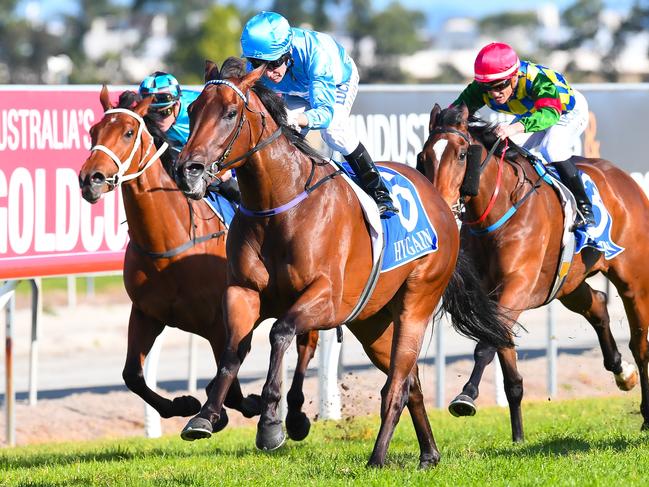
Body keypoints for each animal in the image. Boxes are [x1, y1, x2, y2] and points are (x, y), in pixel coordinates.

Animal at [78, 86, 318, 430]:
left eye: (128, 132)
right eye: (93, 131)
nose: (91, 179)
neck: (170, 244)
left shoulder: (220, 323)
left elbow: (232, 385)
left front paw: (240, 406)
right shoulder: (146, 313)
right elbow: (132, 375)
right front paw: (183, 403)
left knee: (306, 342)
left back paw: (295, 413)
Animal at [171, 59, 512, 470]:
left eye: (230, 113)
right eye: (192, 110)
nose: (187, 169)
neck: (279, 204)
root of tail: (441, 202)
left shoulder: (328, 299)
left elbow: (280, 332)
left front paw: (271, 424)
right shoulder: (243, 292)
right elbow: (232, 351)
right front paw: (205, 416)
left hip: (417, 302)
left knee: (397, 386)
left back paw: (378, 458)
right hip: (373, 323)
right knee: (411, 382)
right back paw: (429, 453)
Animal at [416, 103, 648, 442]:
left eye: (461, 155)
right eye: (423, 156)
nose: (438, 205)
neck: (499, 211)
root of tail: (623, 178)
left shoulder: (517, 287)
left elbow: (485, 346)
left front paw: (466, 396)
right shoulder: (492, 296)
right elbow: (503, 354)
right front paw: (517, 436)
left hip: (633, 280)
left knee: (640, 344)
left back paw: (645, 414)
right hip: (568, 284)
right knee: (597, 304)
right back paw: (623, 372)